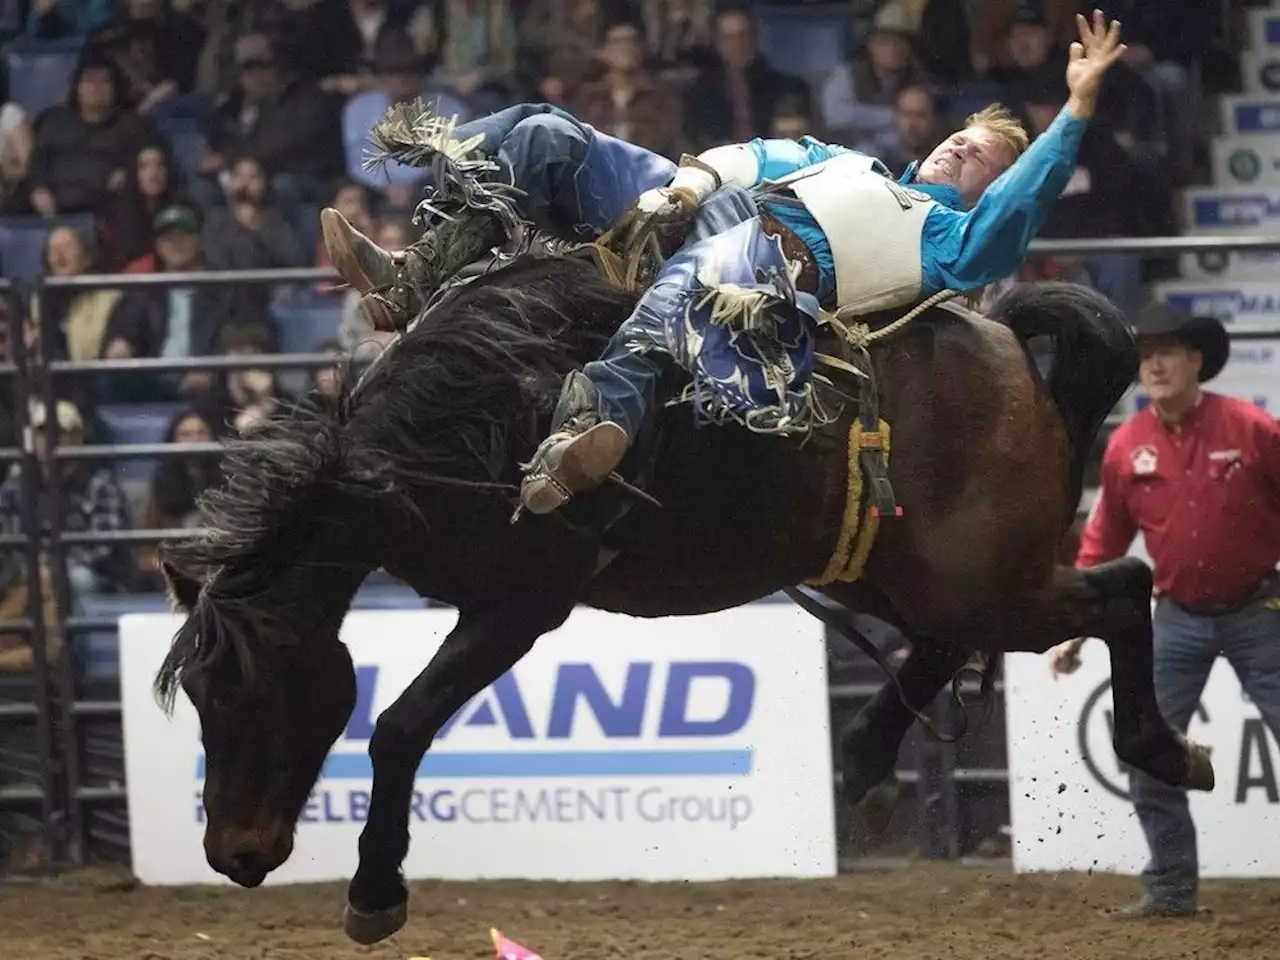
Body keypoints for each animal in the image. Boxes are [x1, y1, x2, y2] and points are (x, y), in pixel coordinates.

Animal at [149, 241, 1208, 947]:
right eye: (196, 695)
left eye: (251, 689)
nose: (231, 853)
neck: (465, 425)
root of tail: (1001, 336)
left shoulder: (520, 606)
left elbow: (401, 726)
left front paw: (375, 893)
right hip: (896, 574)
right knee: (958, 642)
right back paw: (864, 768)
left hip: (978, 580)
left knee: (1124, 589)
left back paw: (1164, 749)